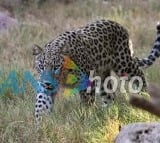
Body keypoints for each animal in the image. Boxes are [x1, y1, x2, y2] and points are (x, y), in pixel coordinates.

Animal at [32, 19, 160, 125]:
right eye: (41, 66)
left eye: (56, 67)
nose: (48, 83)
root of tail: (117, 24)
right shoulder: (45, 88)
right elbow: (41, 105)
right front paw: (39, 126)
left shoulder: (86, 83)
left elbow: (87, 104)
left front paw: (86, 120)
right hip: (102, 76)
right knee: (109, 95)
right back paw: (106, 114)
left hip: (123, 64)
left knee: (139, 74)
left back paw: (145, 95)